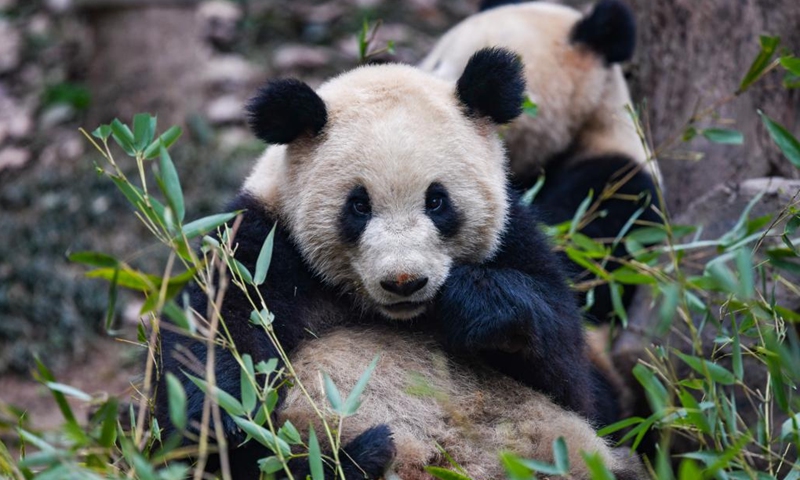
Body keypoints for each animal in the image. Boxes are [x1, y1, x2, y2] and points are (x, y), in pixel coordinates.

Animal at [158, 47, 632, 478]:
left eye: (437, 201)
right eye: (359, 205)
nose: (404, 281)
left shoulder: (515, 236)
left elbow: (574, 377)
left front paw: (473, 302)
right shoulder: (263, 247)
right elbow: (214, 351)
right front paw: (227, 416)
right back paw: (363, 455)